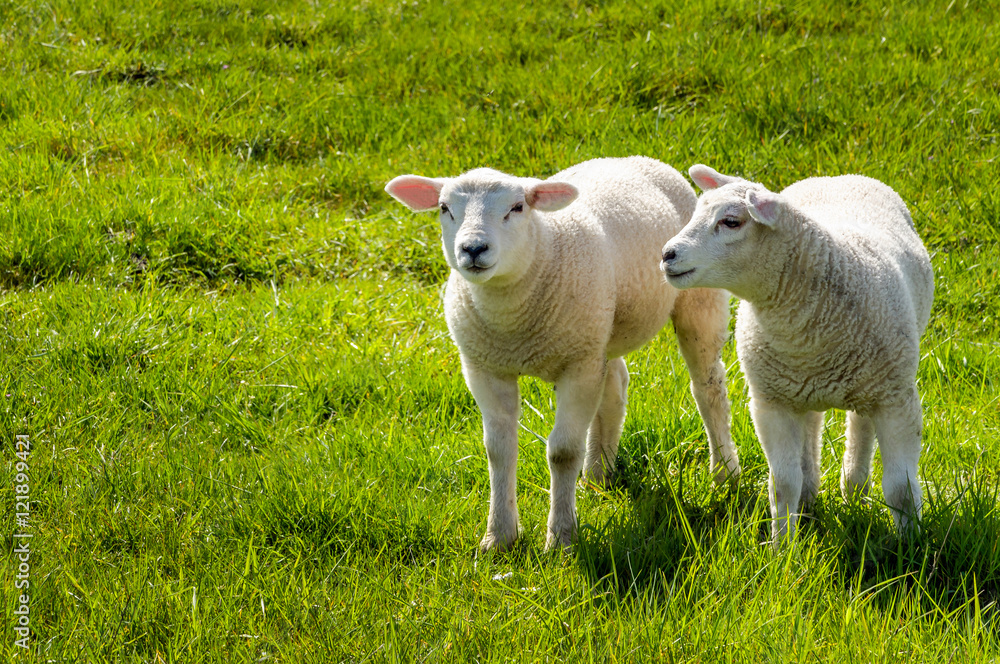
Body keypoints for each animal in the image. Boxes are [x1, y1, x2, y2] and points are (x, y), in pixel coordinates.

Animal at [385, 156, 740, 552]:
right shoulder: (485, 367)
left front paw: (561, 541)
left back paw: (724, 474)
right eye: (445, 208)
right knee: (615, 386)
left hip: (696, 301)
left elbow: (563, 451)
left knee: (708, 388)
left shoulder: (578, 367)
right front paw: (499, 538)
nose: (473, 249)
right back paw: (598, 474)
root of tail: (633, 158)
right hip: (602, 329)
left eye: (517, 207)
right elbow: (499, 449)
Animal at [660, 164, 934, 543]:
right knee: (813, 425)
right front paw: (782, 546)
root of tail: (837, 177)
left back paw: (853, 487)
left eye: (731, 222)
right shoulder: (770, 403)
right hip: (799, 387)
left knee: (860, 423)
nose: (667, 254)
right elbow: (783, 483)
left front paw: (910, 547)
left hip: (878, 379)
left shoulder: (898, 401)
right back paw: (812, 495)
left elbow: (901, 489)